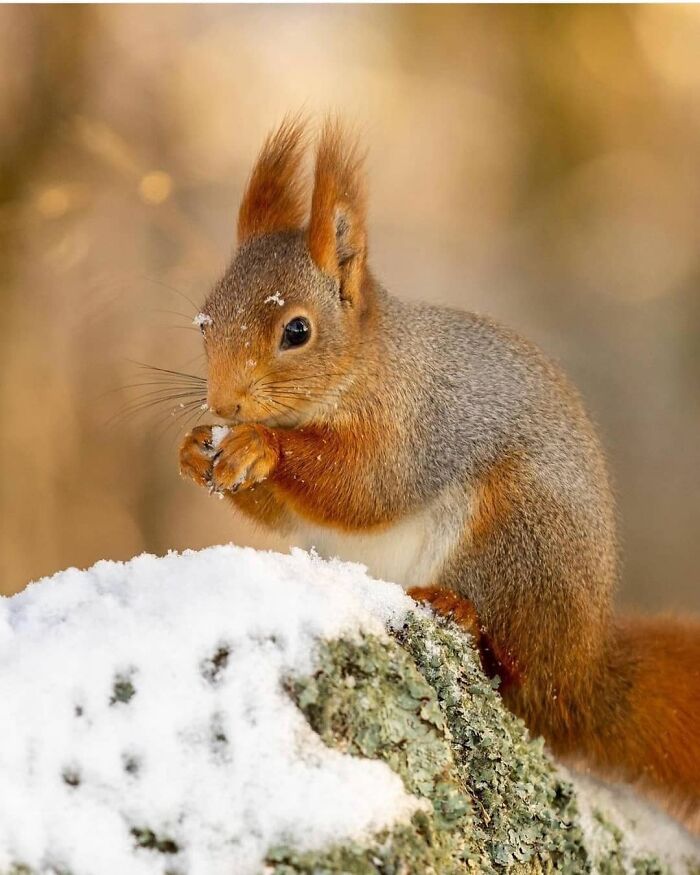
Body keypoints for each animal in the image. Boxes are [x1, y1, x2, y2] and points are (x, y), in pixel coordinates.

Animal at [179, 117, 700, 826]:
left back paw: (460, 610)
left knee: (514, 670)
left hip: (518, 537)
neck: (363, 368)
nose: (225, 404)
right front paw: (194, 447)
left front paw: (260, 446)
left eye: (296, 331)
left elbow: (364, 488)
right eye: (205, 320)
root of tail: (585, 673)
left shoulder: (413, 427)